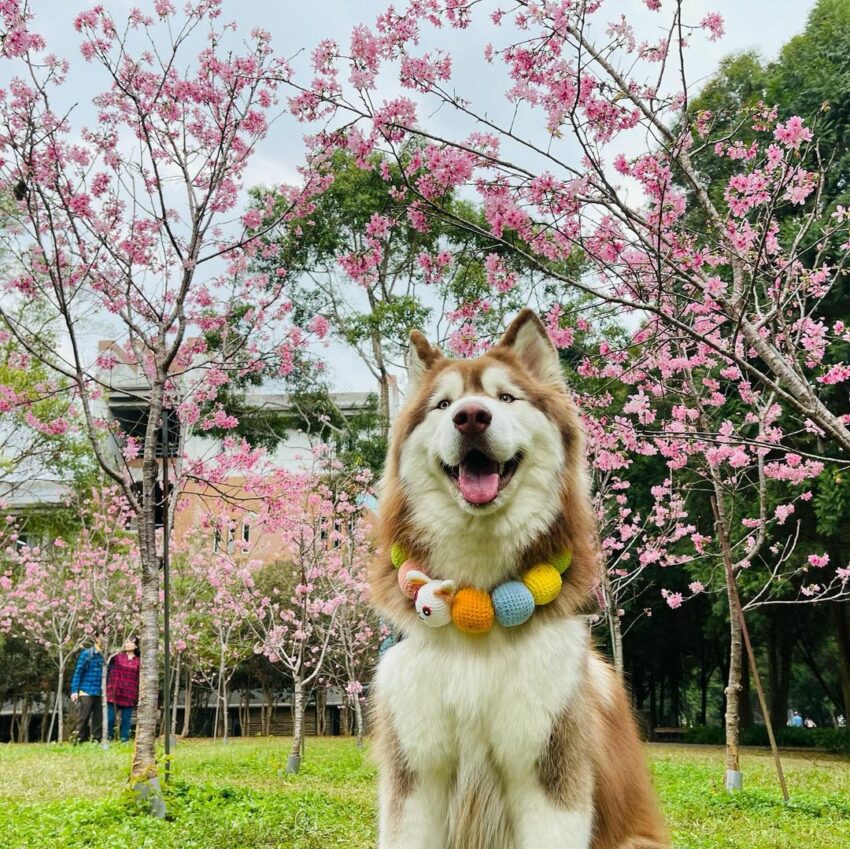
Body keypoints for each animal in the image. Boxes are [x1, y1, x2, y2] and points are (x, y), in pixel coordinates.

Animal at [372, 310, 668, 848]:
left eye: (506, 397)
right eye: (443, 404)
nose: (470, 416)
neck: (479, 602)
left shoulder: (551, 770)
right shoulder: (415, 774)